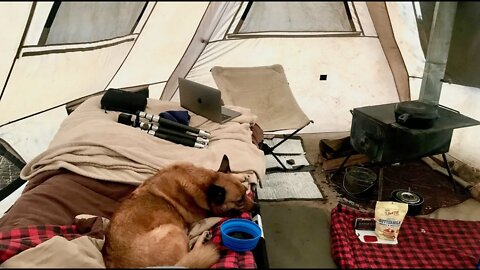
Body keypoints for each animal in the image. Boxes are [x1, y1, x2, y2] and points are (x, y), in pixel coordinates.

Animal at [103, 155, 256, 268]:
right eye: (240, 201)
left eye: (245, 193)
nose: (256, 206)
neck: (203, 183)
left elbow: (218, 171)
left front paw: (241, 175)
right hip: (173, 230)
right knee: (191, 255)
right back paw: (202, 238)